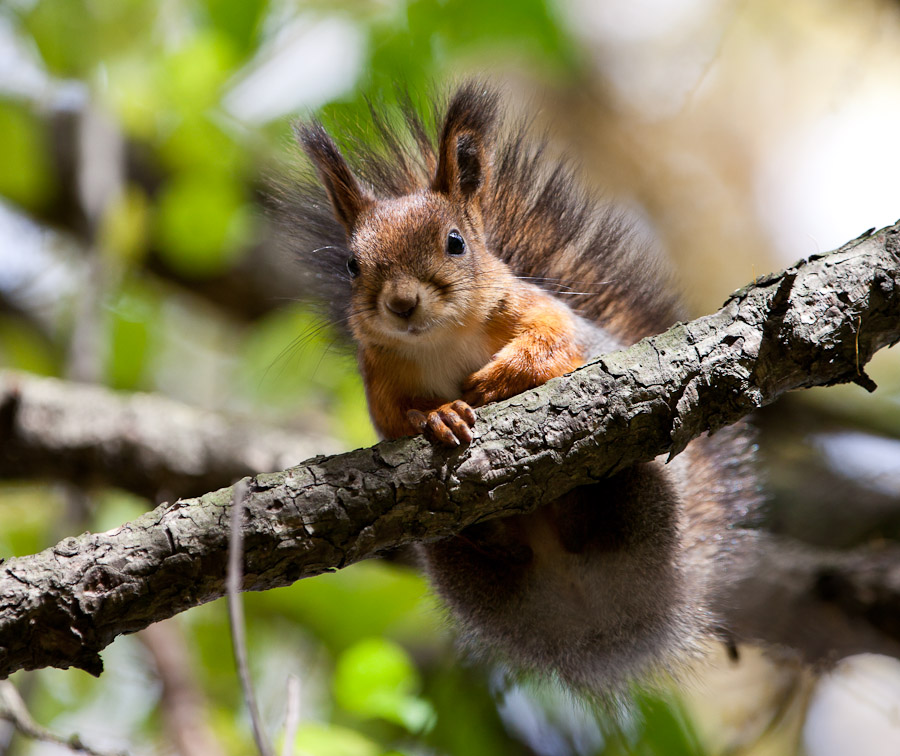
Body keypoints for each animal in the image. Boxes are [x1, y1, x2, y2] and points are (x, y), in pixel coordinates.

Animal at [280, 84, 760, 696]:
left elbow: (555, 350)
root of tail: (590, 616)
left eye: (455, 243)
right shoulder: (380, 378)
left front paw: (498, 379)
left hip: (645, 488)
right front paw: (437, 416)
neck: (440, 339)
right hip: (453, 559)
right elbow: (393, 420)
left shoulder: (544, 314)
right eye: (350, 264)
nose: (402, 304)